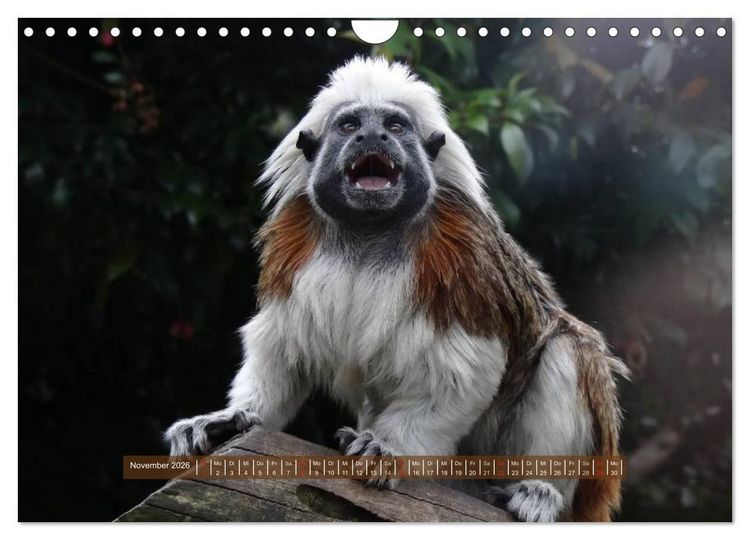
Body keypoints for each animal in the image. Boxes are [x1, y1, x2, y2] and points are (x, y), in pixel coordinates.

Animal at [165, 56, 629, 522]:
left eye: (394, 125)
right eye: (350, 125)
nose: (373, 136)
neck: (369, 233)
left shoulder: (462, 250)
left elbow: (465, 368)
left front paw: (385, 446)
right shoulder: (293, 246)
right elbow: (284, 346)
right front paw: (233, 417)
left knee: (568, 348)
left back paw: (540, 490)